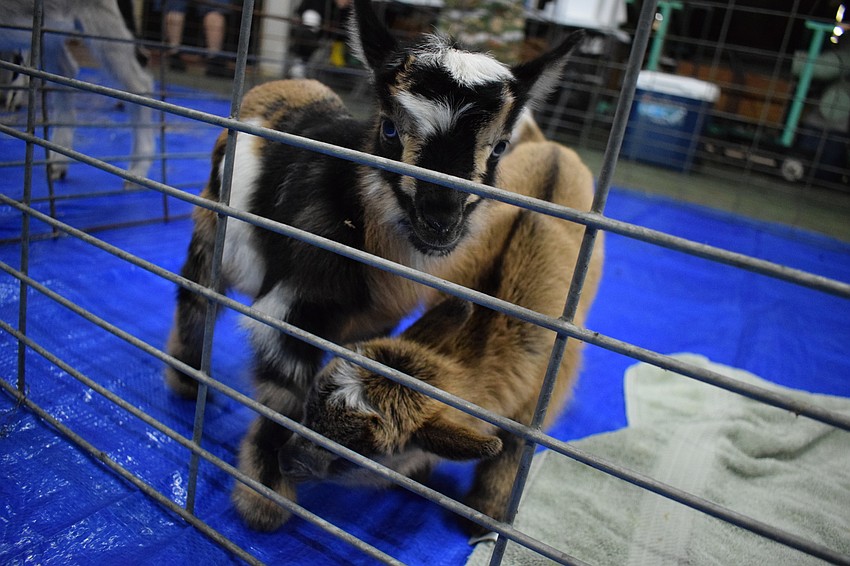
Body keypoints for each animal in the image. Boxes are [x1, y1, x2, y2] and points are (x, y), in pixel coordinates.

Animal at [0, 0, 154, 182]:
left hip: (101, 21)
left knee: (139, 85)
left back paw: (137, 170)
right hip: (49, 31)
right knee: (65, 70)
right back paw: (57, 163)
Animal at [277, 140, 604, 536]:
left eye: (352, 457)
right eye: (308, 409)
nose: (285, 460)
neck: (486, 343)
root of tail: (556, 148)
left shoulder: (532, 413)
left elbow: (508, 460)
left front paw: (485, 514)